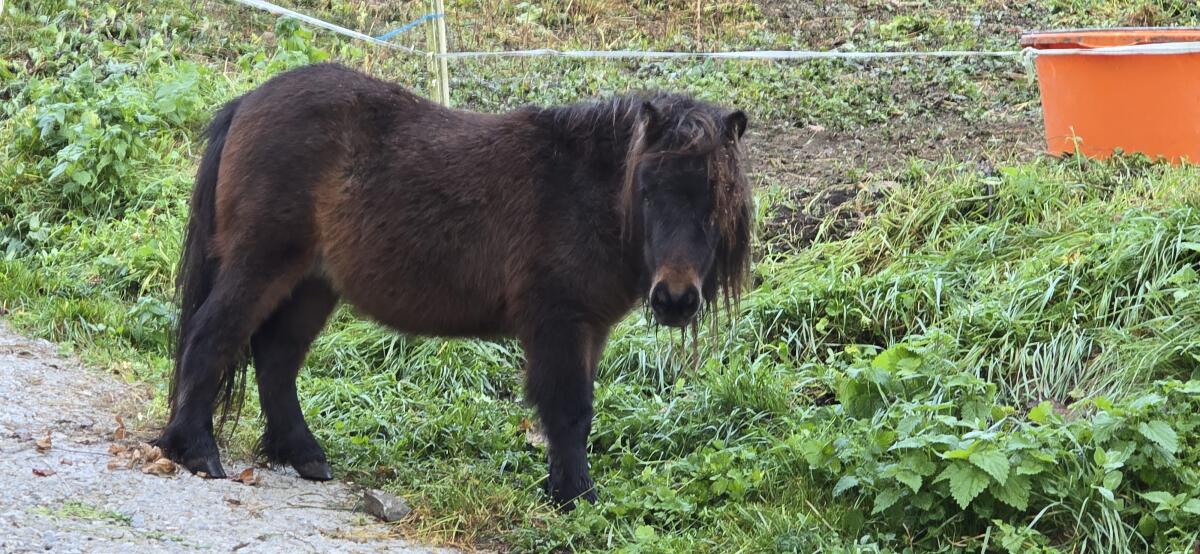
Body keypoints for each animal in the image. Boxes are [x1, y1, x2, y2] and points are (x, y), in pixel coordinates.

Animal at [154, 62, 753, 508]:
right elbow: (568, 410)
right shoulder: (558, 324)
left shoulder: (589, 329)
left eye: (716, 200)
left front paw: (567, 489)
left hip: (312, 285)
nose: (675, 298)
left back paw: (303, 455)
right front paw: (575, 497)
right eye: (648, 190)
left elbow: (578, 415)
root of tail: (248, 101)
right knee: (211, 336)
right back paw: (197, 451)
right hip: (261, 265)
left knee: (275, 358)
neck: (580, 192)